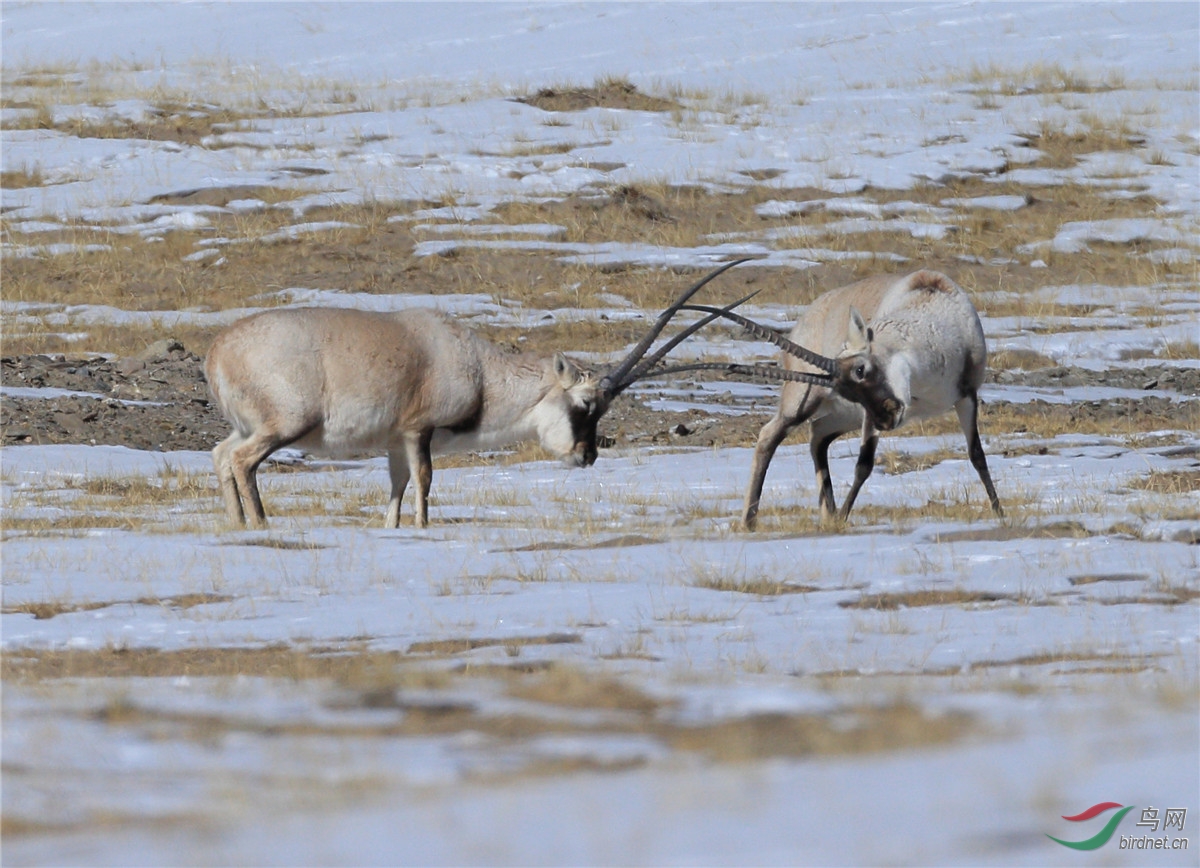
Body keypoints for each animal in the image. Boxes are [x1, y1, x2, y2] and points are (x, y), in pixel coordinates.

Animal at [205, 258, 748, 530]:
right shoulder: (418, 431)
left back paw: (237, 526)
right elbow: (424, 483)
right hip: (284, 426)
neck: (481, 370)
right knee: (243, 461)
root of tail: (218, 350)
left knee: (221, 454)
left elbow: (396, 493)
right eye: (586, 405)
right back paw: (261, 525)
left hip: (248, 427)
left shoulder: (394, 443)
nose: (587, 456)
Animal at [648, 270, 1003, 530]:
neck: (929, 306)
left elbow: (977, 456)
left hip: (842, 417)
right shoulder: (867, 416)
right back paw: (750, 520)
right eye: (849, 387)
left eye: (861, 369)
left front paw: (999, 514)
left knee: (817, 435)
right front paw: (844, 518)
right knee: (770, 435)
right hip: (804, 404)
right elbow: (864, 464)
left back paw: (824, 513)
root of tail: (808, 315)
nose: (888, 418)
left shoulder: (965, 397)